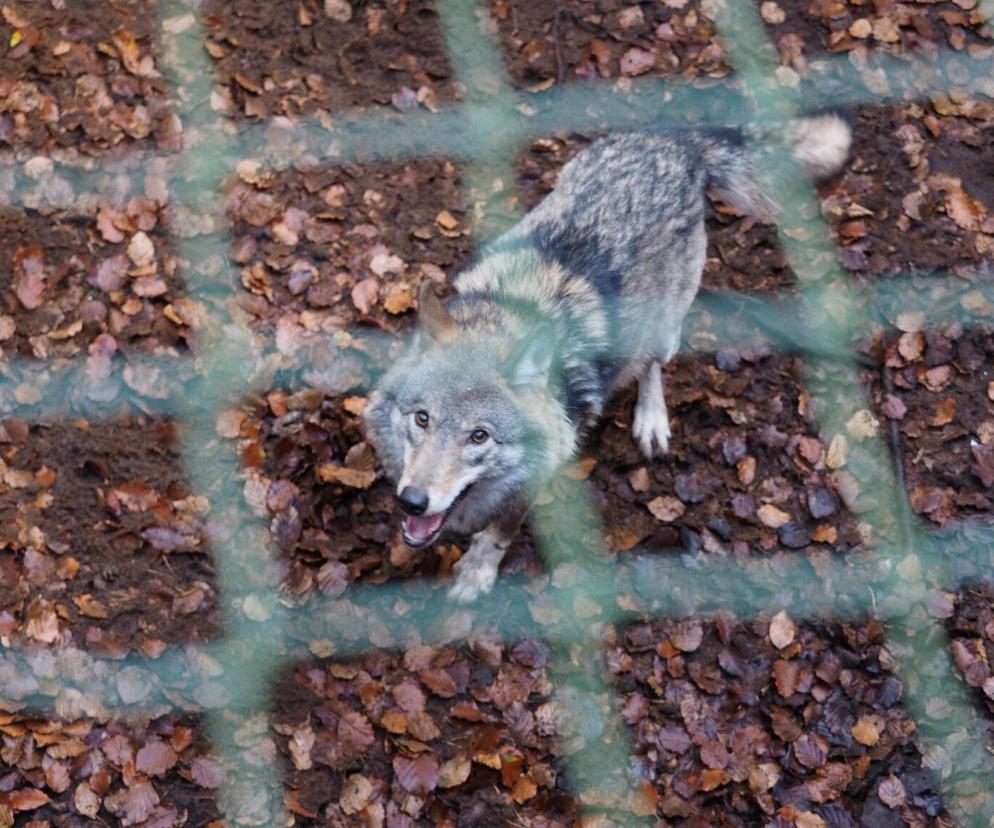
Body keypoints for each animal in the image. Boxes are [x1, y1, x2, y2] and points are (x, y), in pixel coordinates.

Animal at [360, 113, 848, 600]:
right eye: (422, 418)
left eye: (479, 436)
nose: (412, 501)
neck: (502, 317)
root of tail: (676, 141)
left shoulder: (535, 478)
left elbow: (501, 531)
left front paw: (478, 573)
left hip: (664, 327)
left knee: (652, 363)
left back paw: (651, 420)